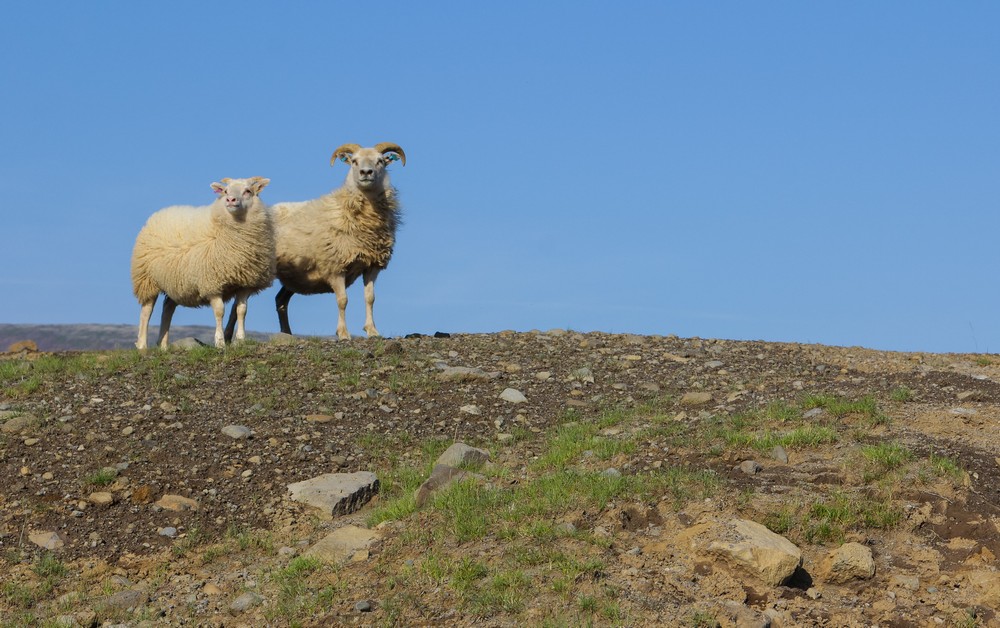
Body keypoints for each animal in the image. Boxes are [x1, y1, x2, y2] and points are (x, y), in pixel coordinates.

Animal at [132, 178, 278, 348]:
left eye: (248, 191)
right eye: (225, 191)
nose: (230, 200)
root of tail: (158, 214)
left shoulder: (246, 283)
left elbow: (241, 310)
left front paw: (241, 340)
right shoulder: (212, 283)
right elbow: (220, 311)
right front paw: (220, 342)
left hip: (176, 282)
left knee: (167, 307)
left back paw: (163, 346)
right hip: (147, 279)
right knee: (146, 311)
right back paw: (142, 345)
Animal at [230, 142, 406, 340]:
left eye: (380, 161)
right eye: (354, 161)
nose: (366, 172)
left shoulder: (372, 265)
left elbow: (370, 298)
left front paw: (372, 331)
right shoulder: (335, 266)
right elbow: (342, 300)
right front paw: (343, 333)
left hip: (292, 276)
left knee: (280, 300)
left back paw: (286, 333)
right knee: (236, 305)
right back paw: (229, 338)